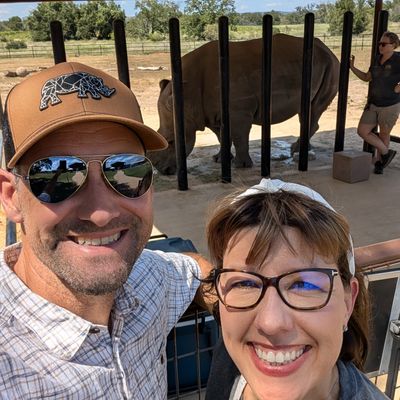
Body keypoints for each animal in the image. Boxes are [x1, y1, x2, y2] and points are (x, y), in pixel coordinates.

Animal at [149, 34, 340, 175]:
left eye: (171, 141)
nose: (162, 171)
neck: (188, 94)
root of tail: (328, 49)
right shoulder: (211, 114)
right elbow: (222, 137)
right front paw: (219, 159)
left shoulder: (239, 112)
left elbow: (239, 136)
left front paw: (240, 166)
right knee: (306, 111)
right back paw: (303, 150)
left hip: (331, 66)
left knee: (314, 109)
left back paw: (296, 151)